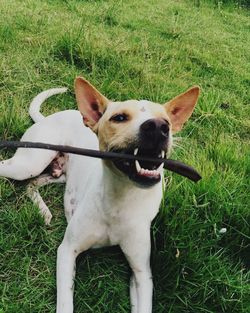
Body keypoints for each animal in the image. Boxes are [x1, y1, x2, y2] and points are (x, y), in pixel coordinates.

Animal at [0, 76, 199, 312]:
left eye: (166, 120)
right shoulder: (67, 251)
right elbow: (65, 302)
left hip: (59, 173)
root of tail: (50, 116)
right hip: (29, 163)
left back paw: (44, 211)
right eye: (119, 117)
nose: (159, 127)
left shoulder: (142, 273)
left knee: (32, 184)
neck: (120, 199)